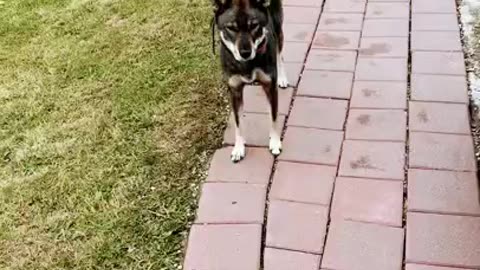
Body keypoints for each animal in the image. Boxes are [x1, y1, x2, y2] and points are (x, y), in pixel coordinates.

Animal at [212, 0, 286, 161]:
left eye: (254, 25)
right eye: (231, 28)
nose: (245, 53)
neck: (247, 63)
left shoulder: (270, 86)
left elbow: (274, 117)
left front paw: (275, 141)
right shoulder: (235, 90)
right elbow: (238, 122)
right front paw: (238, 147)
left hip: (278, 27)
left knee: (280, 53)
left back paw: (283, 77)